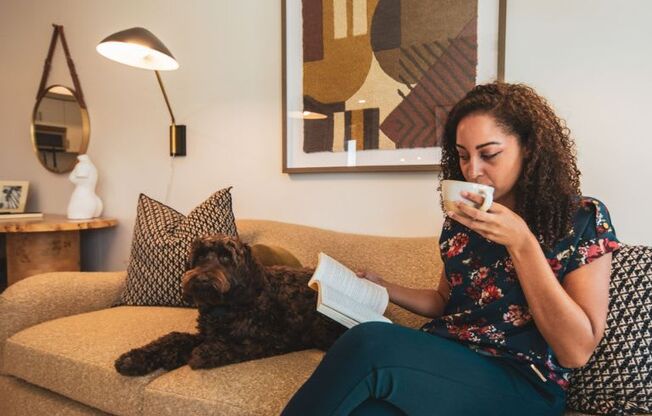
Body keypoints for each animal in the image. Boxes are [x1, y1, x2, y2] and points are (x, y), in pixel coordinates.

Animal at [115, 236, 346, 376]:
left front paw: (204, 352)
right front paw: (134, 358)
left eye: (226, 258)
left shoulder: (272, 340)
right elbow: (174, 338)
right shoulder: (205, 333)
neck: (224, 307)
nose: (202, 278)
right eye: (200, 256)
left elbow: (235, 344)